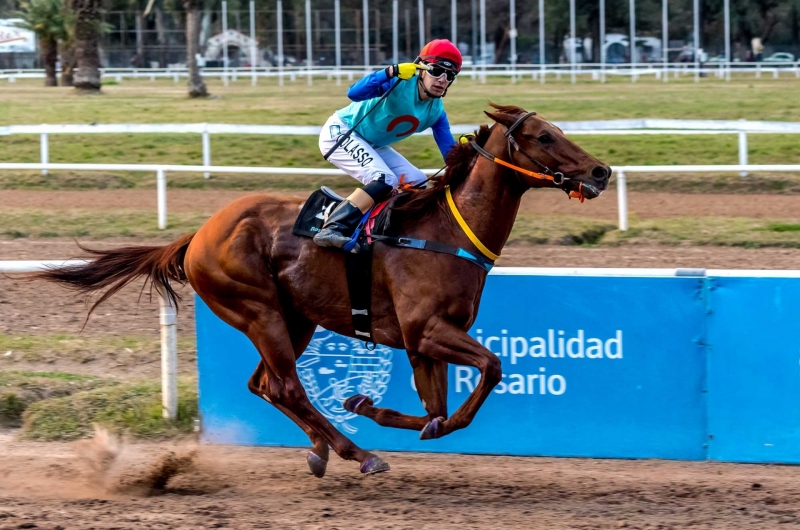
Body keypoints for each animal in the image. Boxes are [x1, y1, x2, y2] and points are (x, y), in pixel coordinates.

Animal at [29, 103, 608, 474]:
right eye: (544, 137)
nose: (600, 171)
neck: (444, 231)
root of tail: (199, 235)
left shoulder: (423, 341)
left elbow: (437, 411)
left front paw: (368, 405)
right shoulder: (427, 329)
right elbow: (489, 370)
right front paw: (373, 415)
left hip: (297, 317)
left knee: (265, 384)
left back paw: (322, 448)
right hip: (258, 310)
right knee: (286, 386)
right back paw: (358, 453)